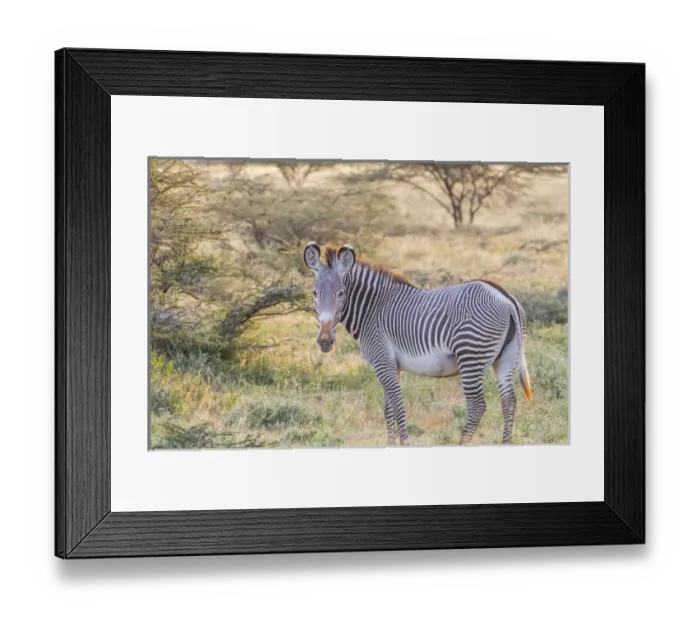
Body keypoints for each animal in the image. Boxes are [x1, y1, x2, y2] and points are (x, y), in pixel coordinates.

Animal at [303, 241, 532, 446]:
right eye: (314, 293)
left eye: (341, 294)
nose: (324, 341)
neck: (371, 310)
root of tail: (505, 297)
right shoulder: (391, 366)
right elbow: (388, 410)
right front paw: (391, 445)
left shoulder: (382, 361)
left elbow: (397, 405)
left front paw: (405, 443)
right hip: (506, 357)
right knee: (509, 401)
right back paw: (505, 443)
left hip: (470, 356)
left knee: (477, 405)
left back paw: (462, 443)